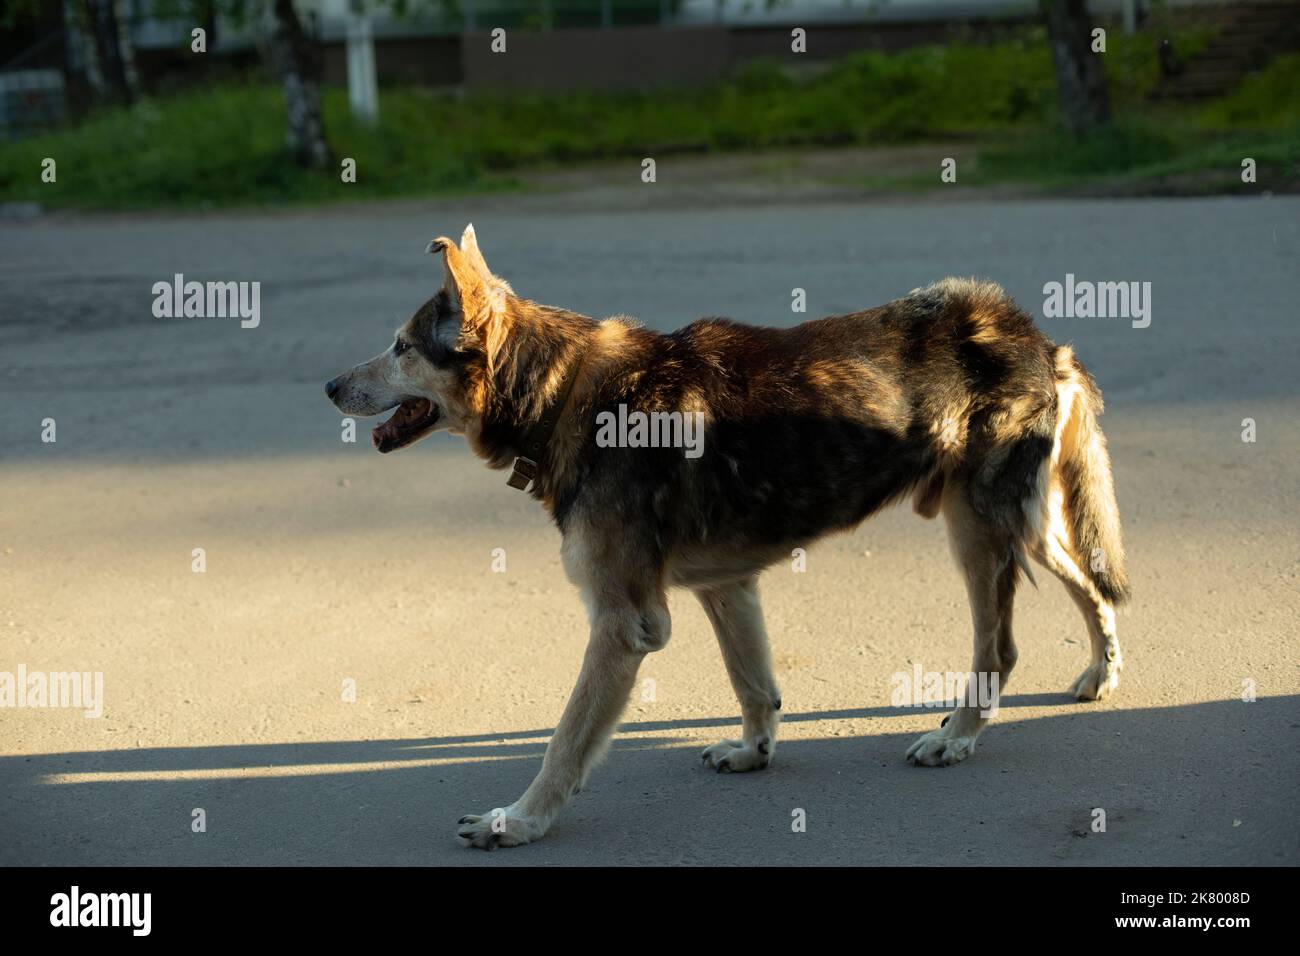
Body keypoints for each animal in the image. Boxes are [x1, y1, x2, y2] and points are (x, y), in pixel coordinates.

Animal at [325, 226, 1128, 853]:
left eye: (401, 347)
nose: (329, 388)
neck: (562, 389)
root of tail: (1038, 336)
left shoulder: (623, 624)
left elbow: (565, 739)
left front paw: (520, 821)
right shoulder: (725, 587)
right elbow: (754, 686)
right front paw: (753, 752)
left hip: (979, 531)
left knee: (1001, 648)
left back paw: (957, 736)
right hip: (1023, 526)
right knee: (1092, 584)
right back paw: (1101, 672)